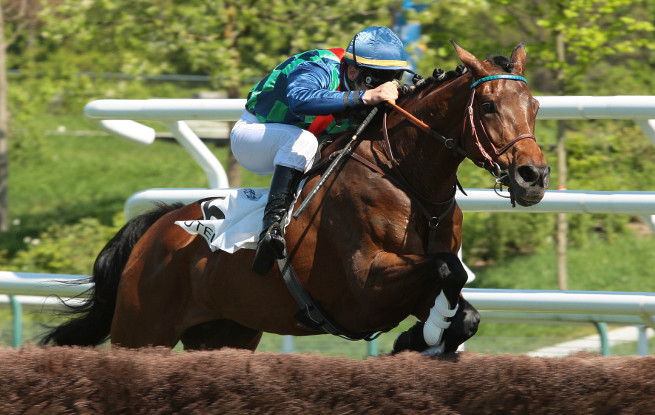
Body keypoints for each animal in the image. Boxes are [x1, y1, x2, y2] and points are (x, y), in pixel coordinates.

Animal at [43, 41, 552, 354]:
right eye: (488, 106)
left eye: (534, 106)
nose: (533, 176)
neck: (411, 186)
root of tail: (158, 229)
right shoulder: (365, 284)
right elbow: (448, 269)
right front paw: (418, 339)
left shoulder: (415, 284)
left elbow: (461, 303)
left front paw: (423, 338)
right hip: (141, 330)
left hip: (226, 333)